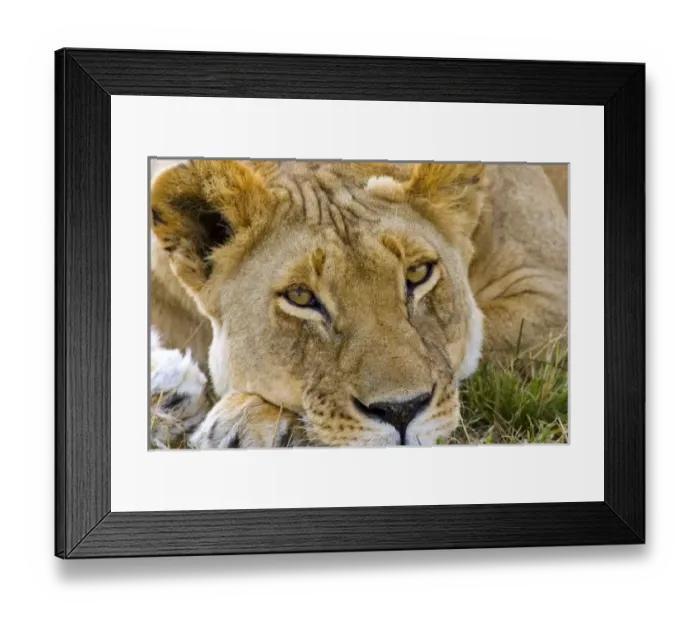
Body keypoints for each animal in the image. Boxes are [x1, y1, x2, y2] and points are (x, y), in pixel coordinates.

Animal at [149, 159, 568, 448]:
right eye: (301, 297)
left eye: (417, 273)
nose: (401, 411)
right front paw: (169, 391)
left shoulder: (548, 293)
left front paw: (244, 418)